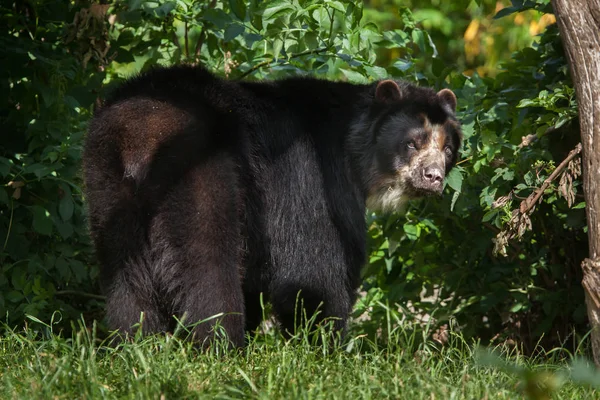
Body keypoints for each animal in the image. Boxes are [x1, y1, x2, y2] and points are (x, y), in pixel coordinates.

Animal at [82, 65, 462, 346]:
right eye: (413, 142)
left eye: (447, 149)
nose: (433, 177)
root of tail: (141, 139)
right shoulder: (313, 174)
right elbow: (314, 265)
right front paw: (323, 345)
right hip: (204, 172)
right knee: (207, 260)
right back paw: (221, 347)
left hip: (106, 185)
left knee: (124, 273)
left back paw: (138, 344)